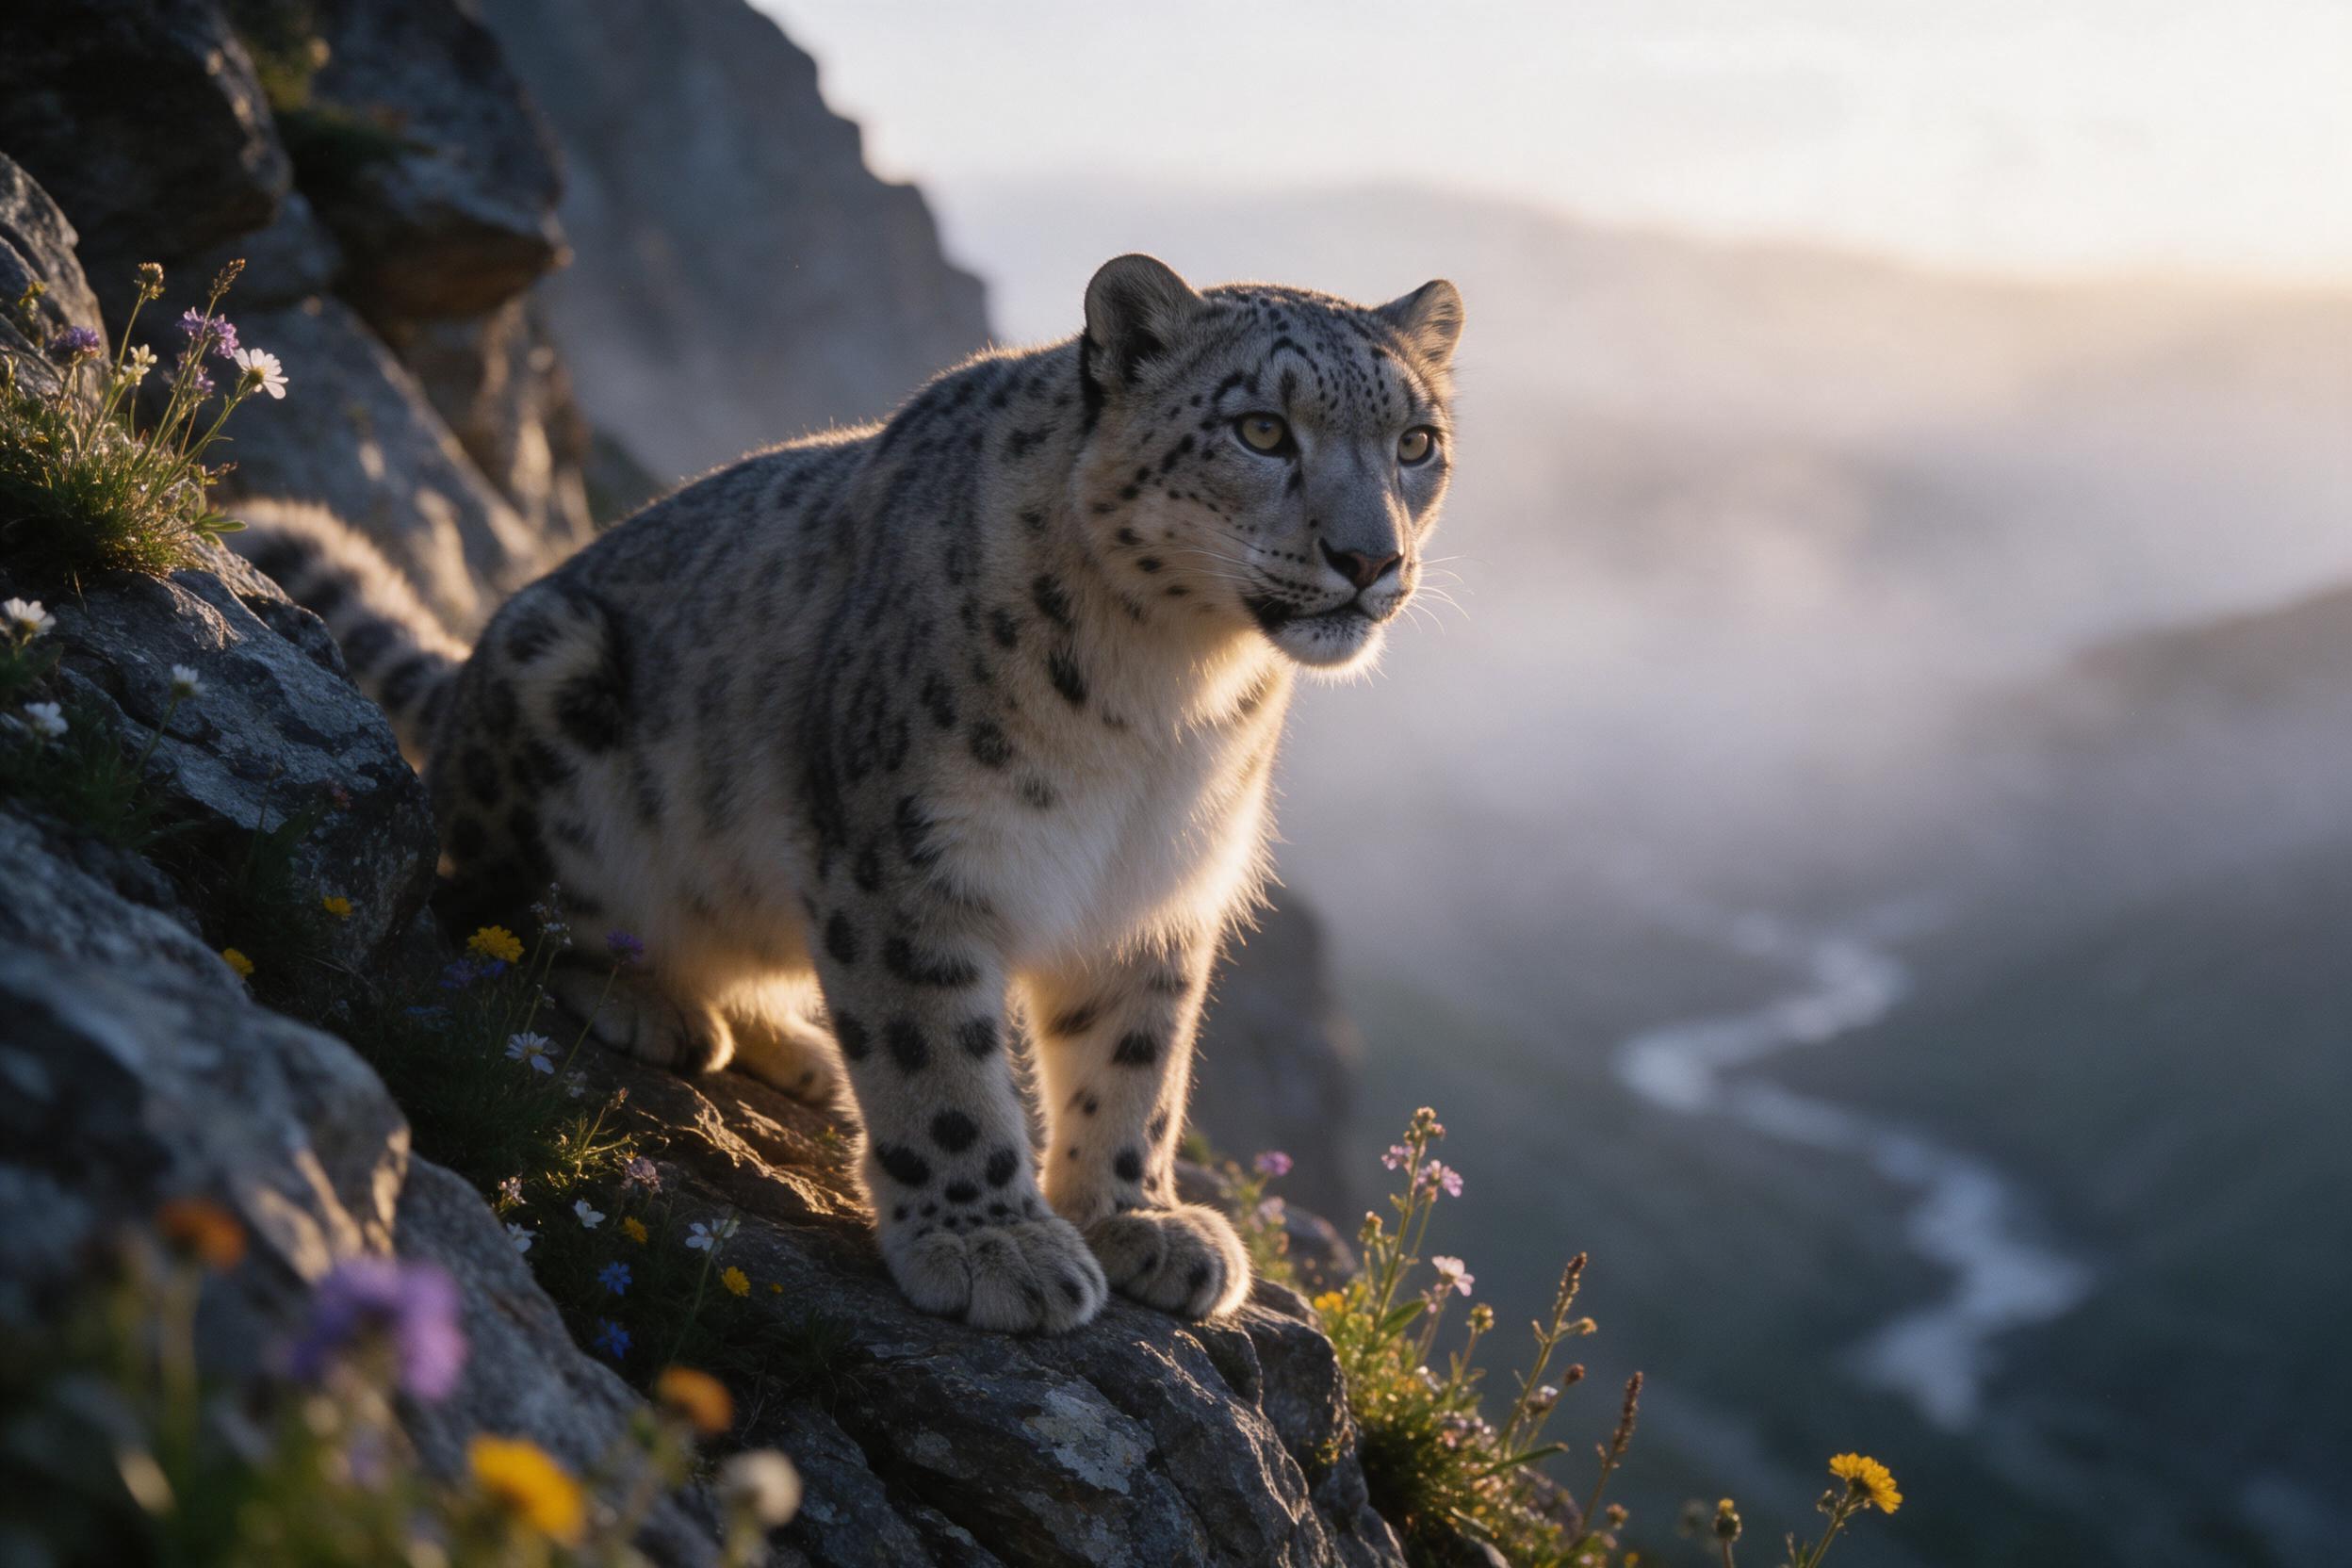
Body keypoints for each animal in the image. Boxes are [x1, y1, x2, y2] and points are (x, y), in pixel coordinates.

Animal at [239, 254, 1463, 1332]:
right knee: (489, 902)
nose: (1369, 559)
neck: (1170, 694)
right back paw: (650, 1001)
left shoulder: (1157, 887)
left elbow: (1135, 1063)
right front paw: (990, 1242)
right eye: (1262, 429)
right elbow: (939, 1058)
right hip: (557, 679)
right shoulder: (909, 855)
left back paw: (794, 1044)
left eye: (1417, 443)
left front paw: (1139, 1218)